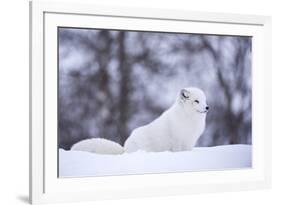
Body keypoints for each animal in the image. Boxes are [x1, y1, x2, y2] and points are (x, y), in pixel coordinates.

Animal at [70, 87, 206, 155]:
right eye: (196, 101)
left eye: (204, 100)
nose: (207, 107)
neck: (188, 117)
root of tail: (124, 150)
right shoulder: (177, 141)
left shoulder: (190, 142)